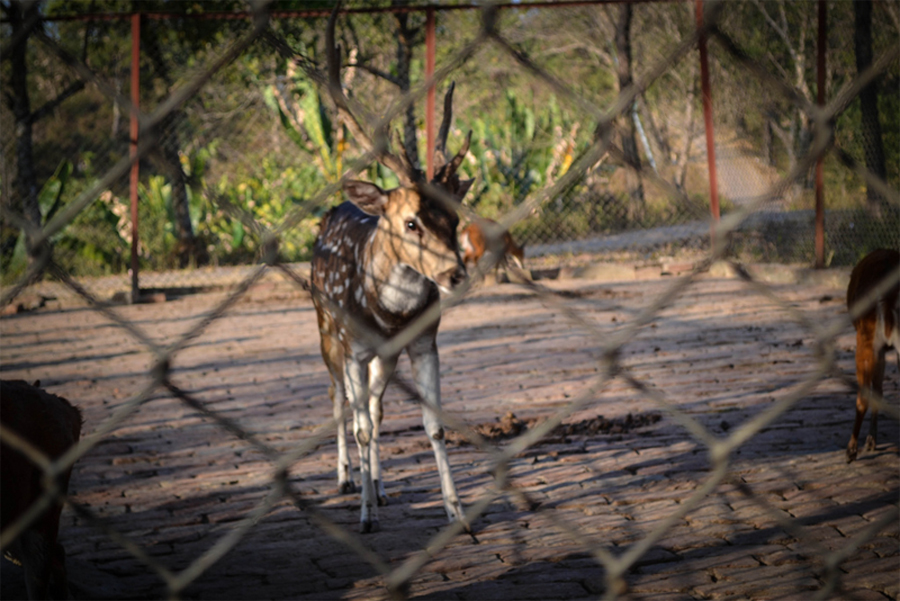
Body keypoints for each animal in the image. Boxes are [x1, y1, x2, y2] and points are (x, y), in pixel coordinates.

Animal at [312, 7, 472, 532]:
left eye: (454, 219)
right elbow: (359, 424)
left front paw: (458, 514)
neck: (388, 312)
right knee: (340, 401)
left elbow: (434, 425)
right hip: (328, 334)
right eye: (410, 221)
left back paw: (380, 487)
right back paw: (347, 481)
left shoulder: (422, 343)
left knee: (377, 409)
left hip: (386, 357)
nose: (455, 275)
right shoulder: (353, 347)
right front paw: (364, 517)